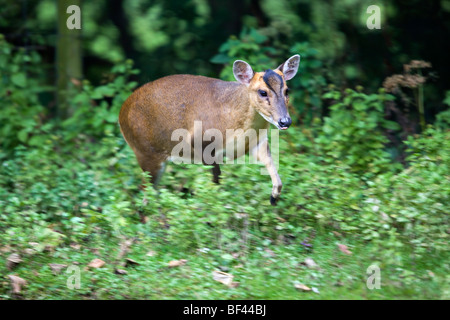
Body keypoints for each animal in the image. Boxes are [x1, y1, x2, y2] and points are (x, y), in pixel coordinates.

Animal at [119, 55, 300, 205]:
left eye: (287, 90)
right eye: (262, 92)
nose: (285, 121)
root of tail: (122, 113)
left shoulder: (258, 142)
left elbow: (275, 174)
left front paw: (273, 198)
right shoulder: (201, 142)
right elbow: (216, 181)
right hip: (146, 151)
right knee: (144, 194)